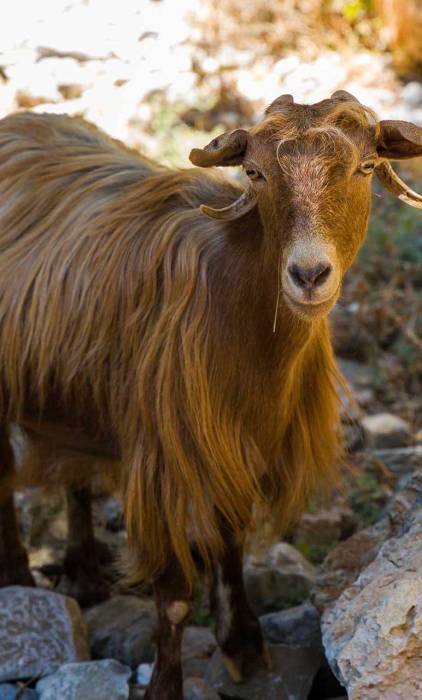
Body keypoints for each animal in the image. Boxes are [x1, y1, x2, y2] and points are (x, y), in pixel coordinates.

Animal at [0, 91, 421, 699]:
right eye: (255, 173)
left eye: (366, 167)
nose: (309, 274)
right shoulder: (165, 464)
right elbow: (175, 599)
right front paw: (166, 687)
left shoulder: (240, 446)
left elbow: (232, 543)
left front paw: (243, 643)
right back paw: (16, 576)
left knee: (76, 478)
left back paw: (84, 574)